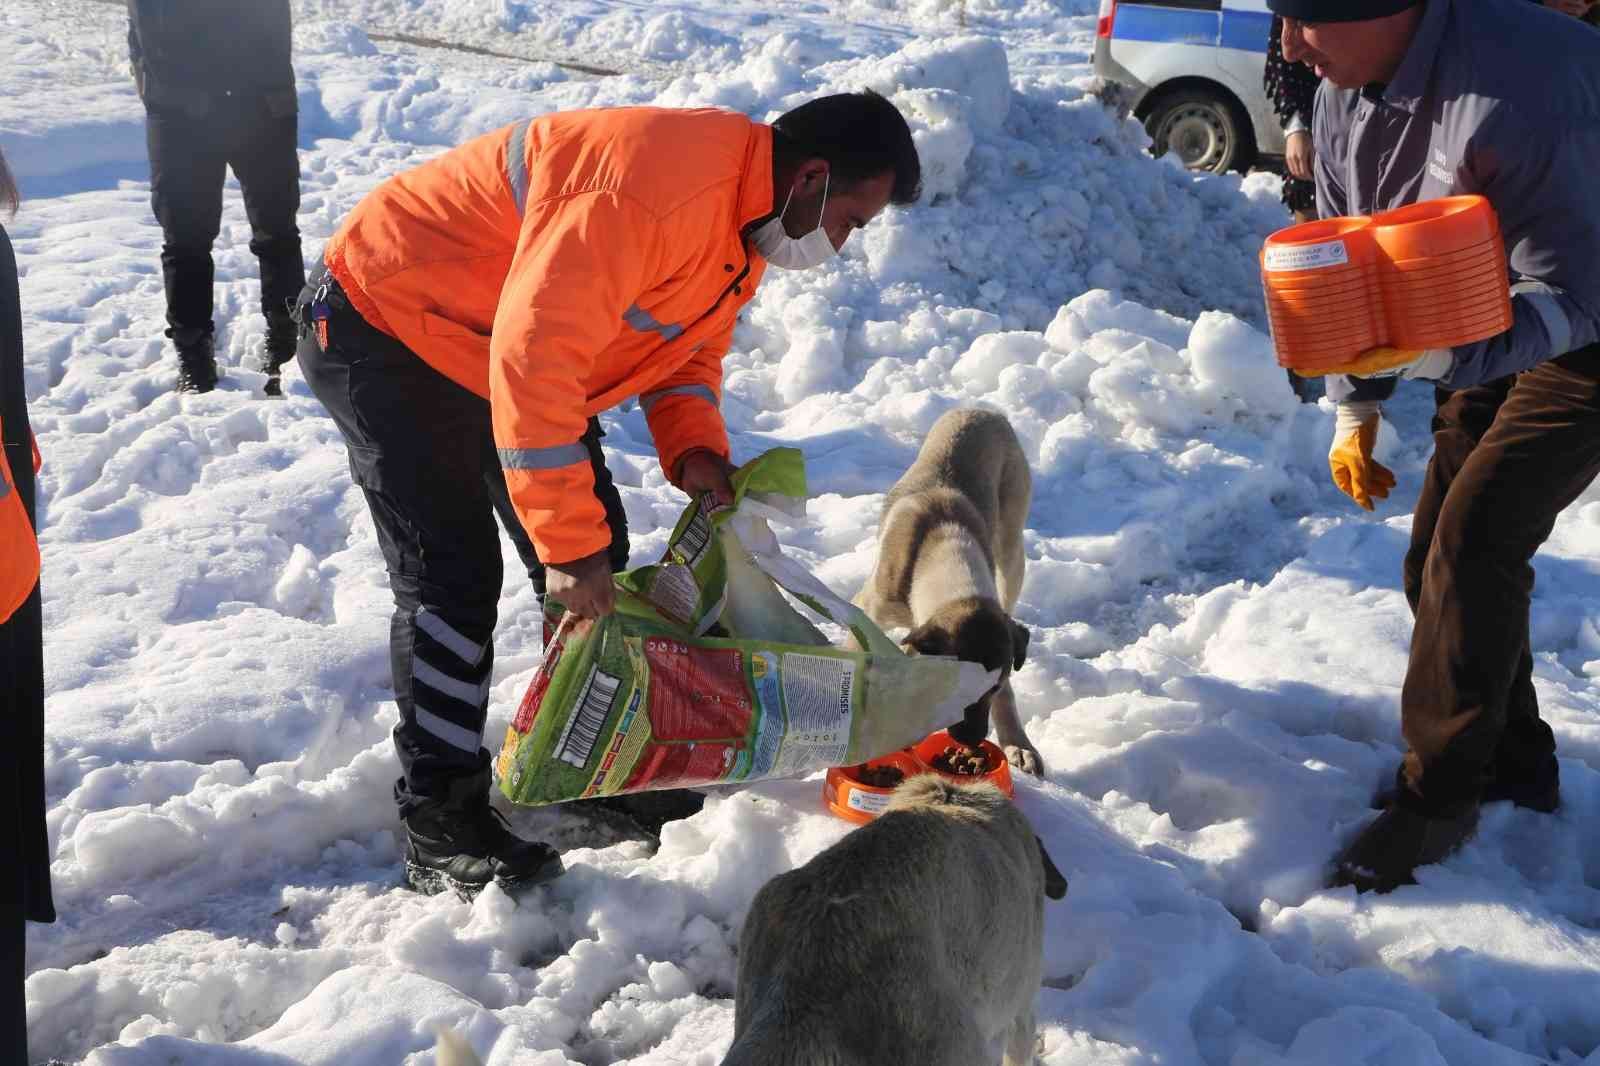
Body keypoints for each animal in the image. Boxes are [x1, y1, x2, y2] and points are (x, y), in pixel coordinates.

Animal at [857, 408, 1043, 771]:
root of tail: (984, 410)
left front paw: (1017, 744)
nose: (971, 740)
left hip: (1012, 552)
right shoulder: (869, 606)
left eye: (991, 688)